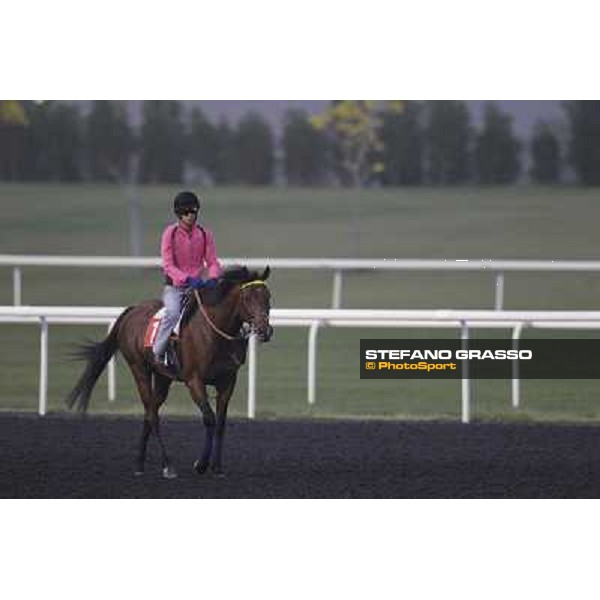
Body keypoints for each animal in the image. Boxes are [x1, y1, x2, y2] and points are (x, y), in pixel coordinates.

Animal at [67, 264, 272, 480]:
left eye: (268, 296)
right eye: (247, 298)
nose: (265, 330)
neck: (215, 333)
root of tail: (132, 310)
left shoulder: (227, 382)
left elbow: (221, 424)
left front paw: (217, 467)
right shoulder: (194, 381)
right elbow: (209, 419)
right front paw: (201, 464)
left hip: (162, 376)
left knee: (150, 412)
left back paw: (139, 463)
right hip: (139, 368)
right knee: (152, 415)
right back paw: (167, 465)